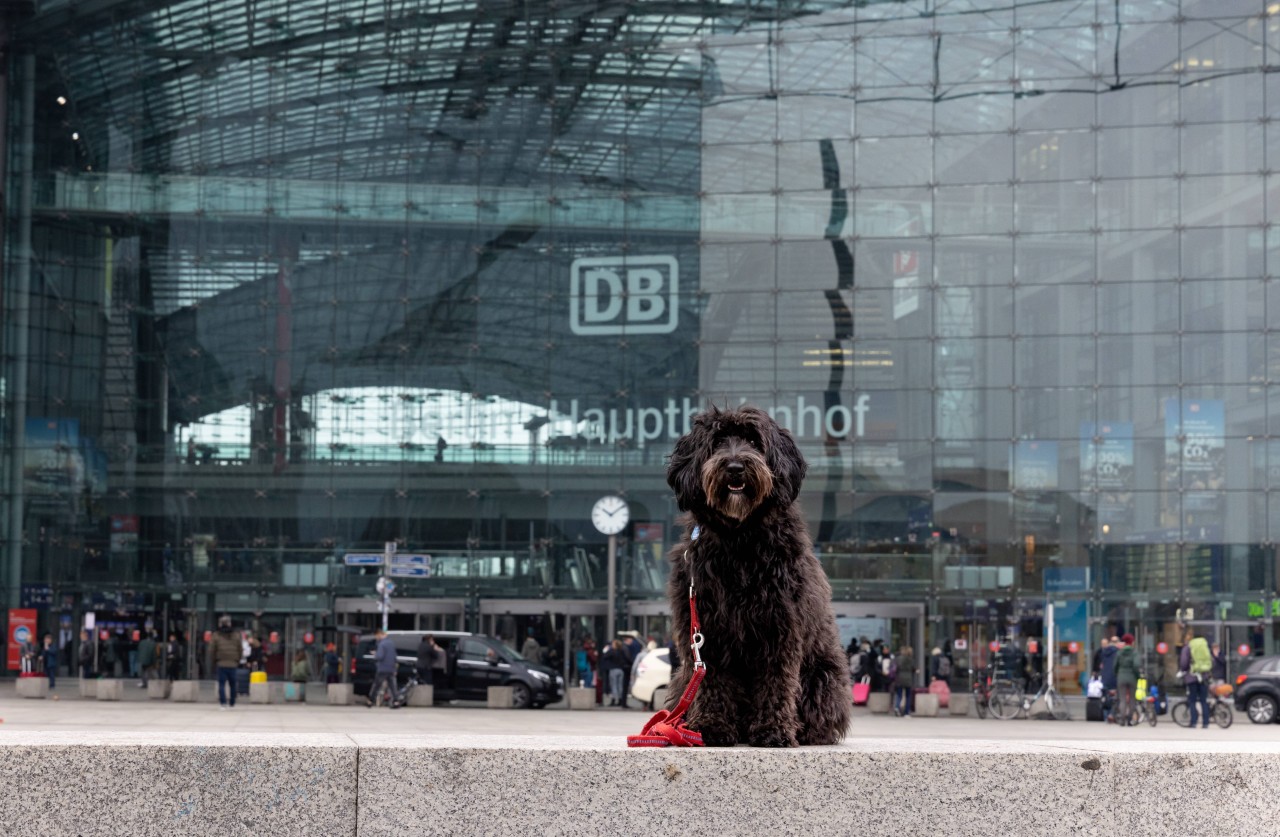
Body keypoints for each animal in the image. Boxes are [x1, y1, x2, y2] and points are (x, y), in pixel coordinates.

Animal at [670, 406, 849, 747]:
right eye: (717, 441)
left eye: (754, 441)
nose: (735, 467)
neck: (740, 537)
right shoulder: (707, 628)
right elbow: (713, 681)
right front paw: (711, 727)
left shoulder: (781, 625)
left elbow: (776, 680)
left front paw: (773, 730)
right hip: (682, 679)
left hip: (822, 678)